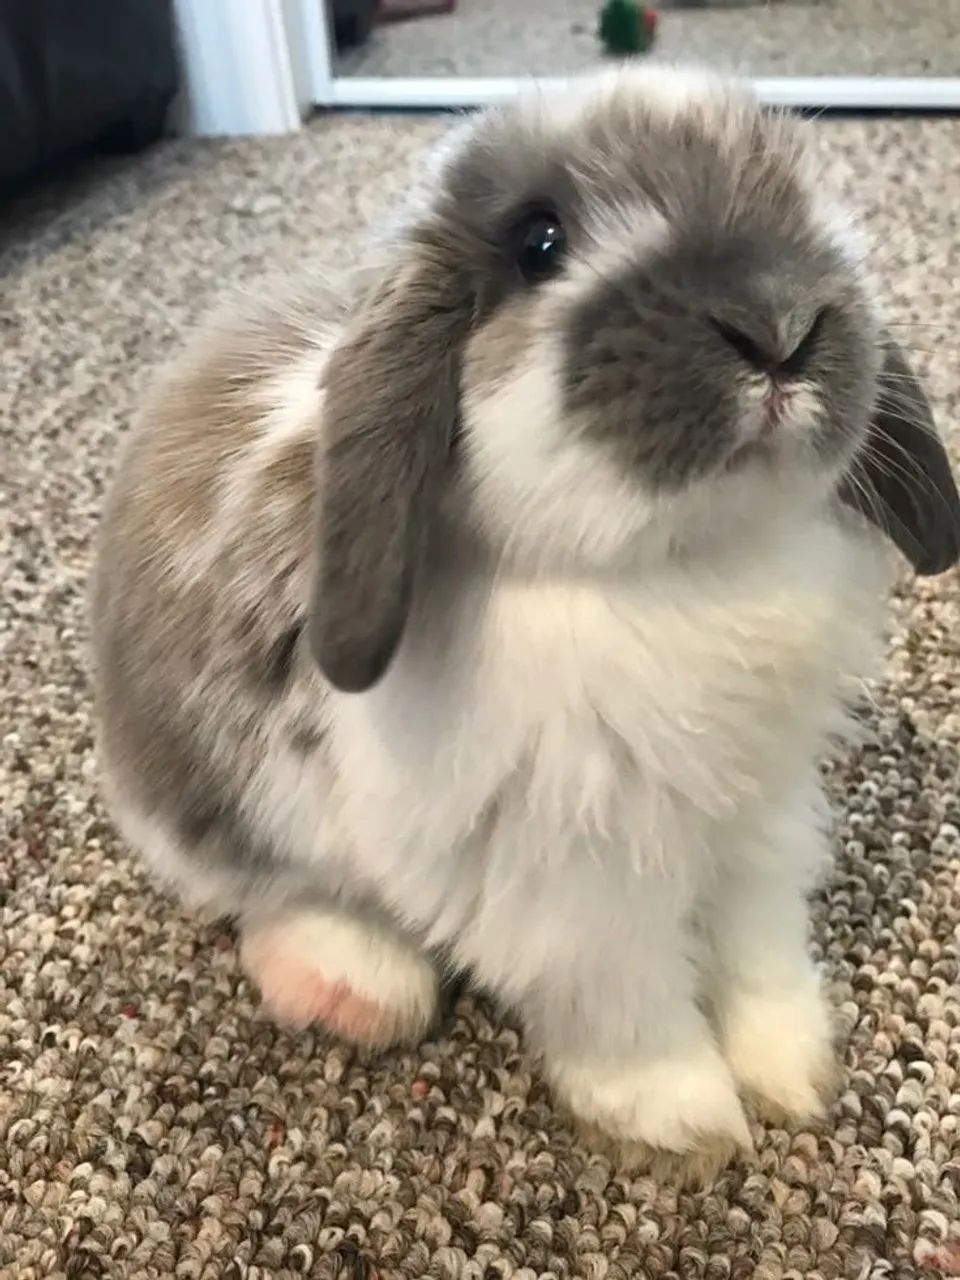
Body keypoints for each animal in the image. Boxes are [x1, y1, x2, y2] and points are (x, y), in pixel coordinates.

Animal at [91, 65, 960, 1183]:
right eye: (539, 241)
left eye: (801, 197)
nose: (778, 325)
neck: (673, 569)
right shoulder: (569, 880)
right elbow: (627, 997)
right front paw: (684, 1117)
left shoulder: (758, 820)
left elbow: (757, 947)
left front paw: (792, 1070)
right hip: (222, 808)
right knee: (259, 889)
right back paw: (353, 984)